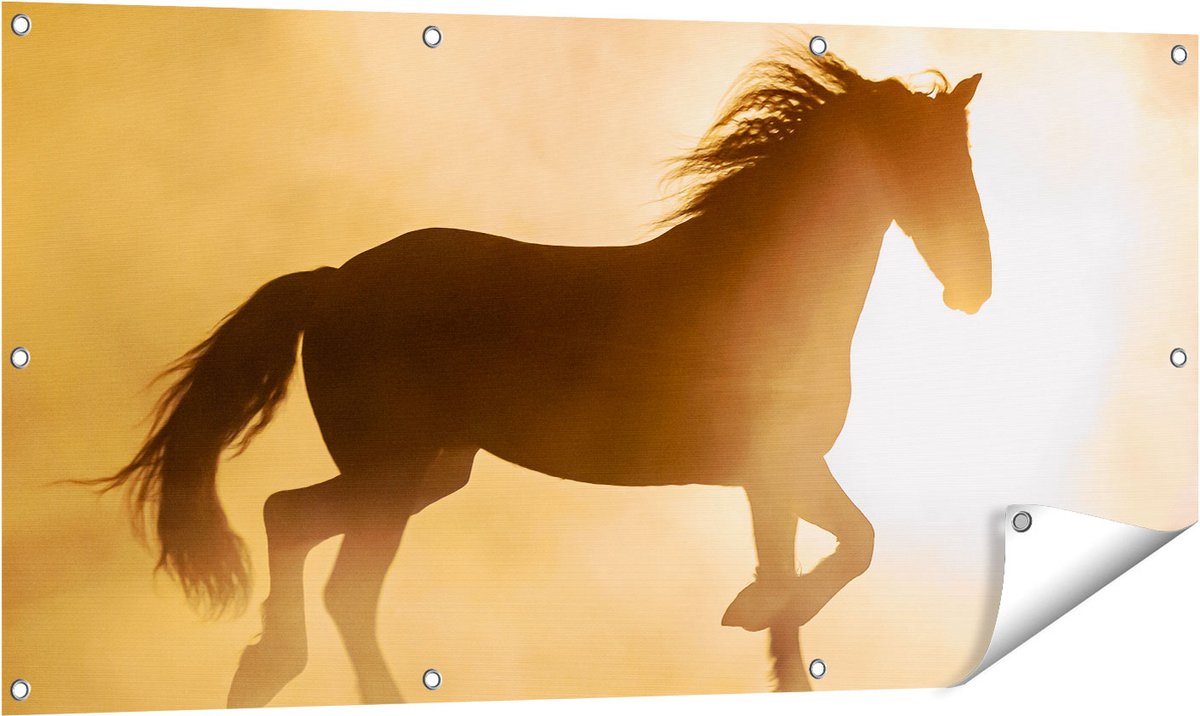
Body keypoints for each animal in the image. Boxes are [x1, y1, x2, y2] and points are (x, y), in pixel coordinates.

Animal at [92, 46, 990, 705]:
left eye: (965, 160)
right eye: (921, 160)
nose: (974, 288)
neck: (759, 289)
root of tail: (334, 279)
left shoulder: (770, 480)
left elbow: (806, 599)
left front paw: (761, 616)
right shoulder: (780, 469)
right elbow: (848, 552)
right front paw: (750, 607)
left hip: (429, 472)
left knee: (311, 539)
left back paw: (273, 671)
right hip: (392, 471)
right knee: (316, 551)